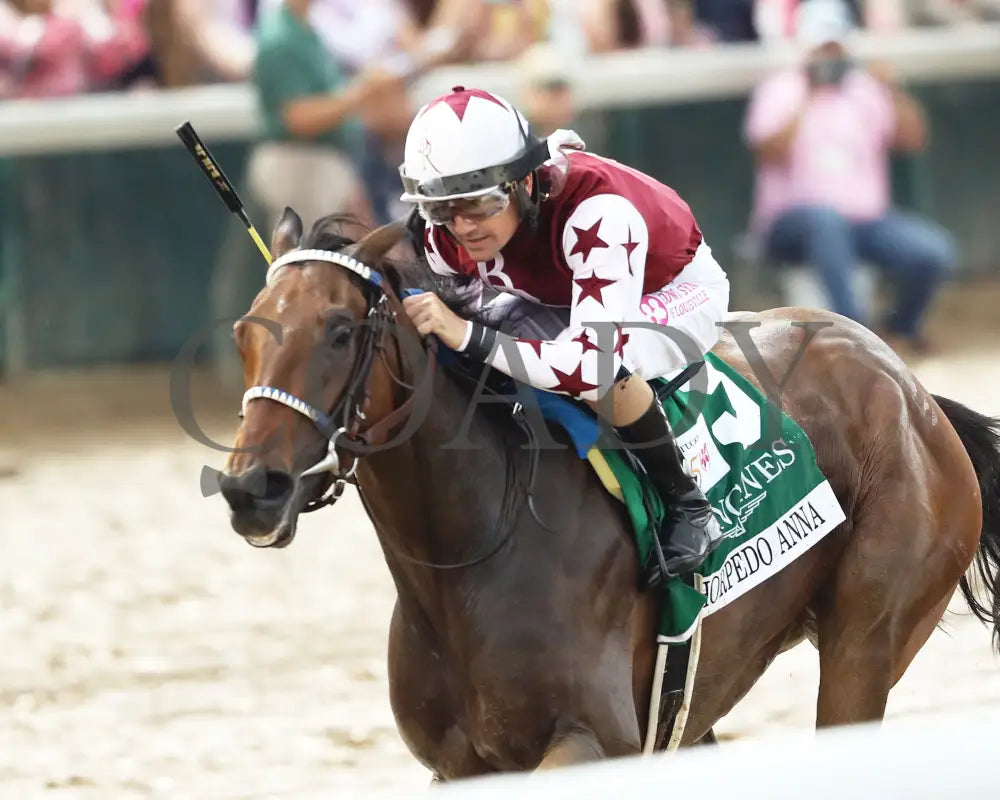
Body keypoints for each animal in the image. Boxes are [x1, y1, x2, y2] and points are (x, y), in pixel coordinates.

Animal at [217, 211, 1000, 780]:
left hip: (867, 638)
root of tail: (910, 388)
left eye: (340, 331)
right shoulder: (463, 765)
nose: (251, 488)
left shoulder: (594, 741)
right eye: (242, 335)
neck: (474, 552)